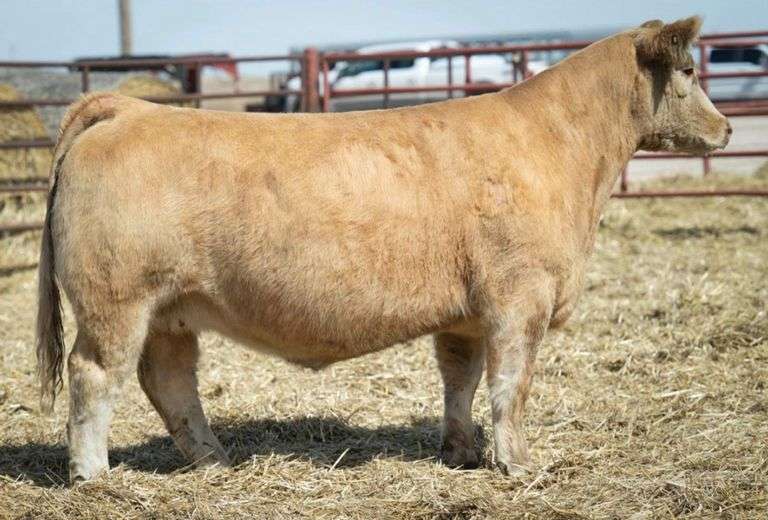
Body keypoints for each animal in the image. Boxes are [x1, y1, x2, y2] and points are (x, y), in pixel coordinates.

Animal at [36, 16, 730, 482]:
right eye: (690, 71)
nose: (725, 128)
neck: (568, 153)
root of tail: (128, 109)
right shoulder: (520, 297)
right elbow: (512, 385)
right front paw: (519, 464)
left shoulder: (465, 313)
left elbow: (461, 381)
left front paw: (462, 453)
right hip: (116, 300)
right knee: (95, 374)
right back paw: (93, 476)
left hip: (171, 309)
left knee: (169, 380)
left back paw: (215, 461)